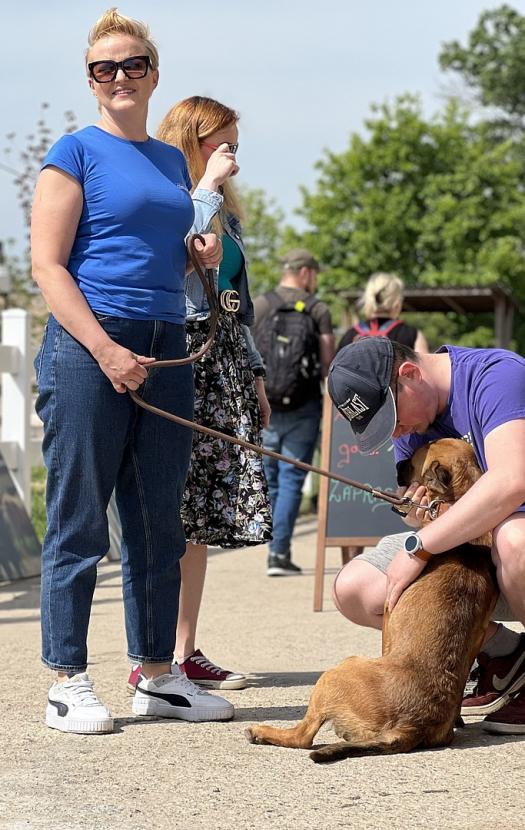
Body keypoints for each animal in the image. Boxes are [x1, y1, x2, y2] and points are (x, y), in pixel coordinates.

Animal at [246, 438, 496, 764]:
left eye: (418, 455)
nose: (398, 461)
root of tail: (410, 727)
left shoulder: (390, 612)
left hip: (337, 673)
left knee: (302, 737)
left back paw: (263, 732)